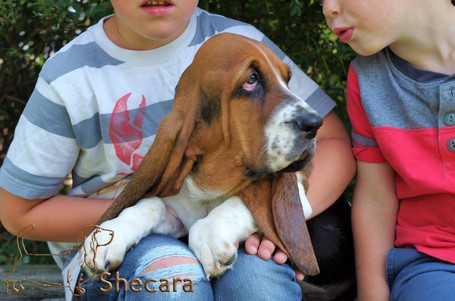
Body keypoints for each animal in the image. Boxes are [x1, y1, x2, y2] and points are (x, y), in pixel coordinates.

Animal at [83, 32, 358, 300]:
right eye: (251, 80)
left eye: (287, 80)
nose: (315, 123)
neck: (211, 185)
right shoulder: (178, 215)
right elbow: (151, 204)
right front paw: (110, 235)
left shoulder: (300, 192)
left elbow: (238, 203)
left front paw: (210, 234)